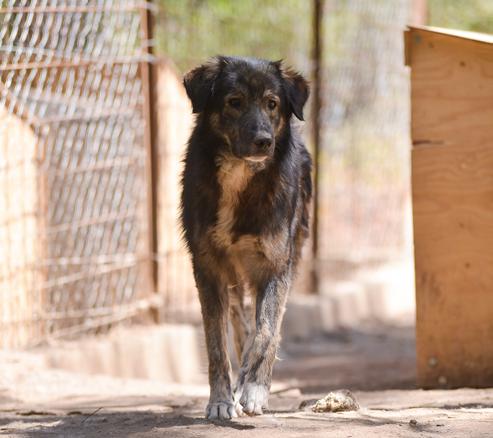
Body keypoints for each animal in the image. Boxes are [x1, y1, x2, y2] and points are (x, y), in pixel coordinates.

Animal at [181, 56, 312, 420]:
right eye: (234, 101)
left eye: (272, 104)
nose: (264, 140)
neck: (240, 178)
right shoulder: (208, 268)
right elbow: (216, 342)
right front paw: (221, 400)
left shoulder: (276, 266)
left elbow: (267, 331)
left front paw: (255, 389)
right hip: (233, 275)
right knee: (239, 321)